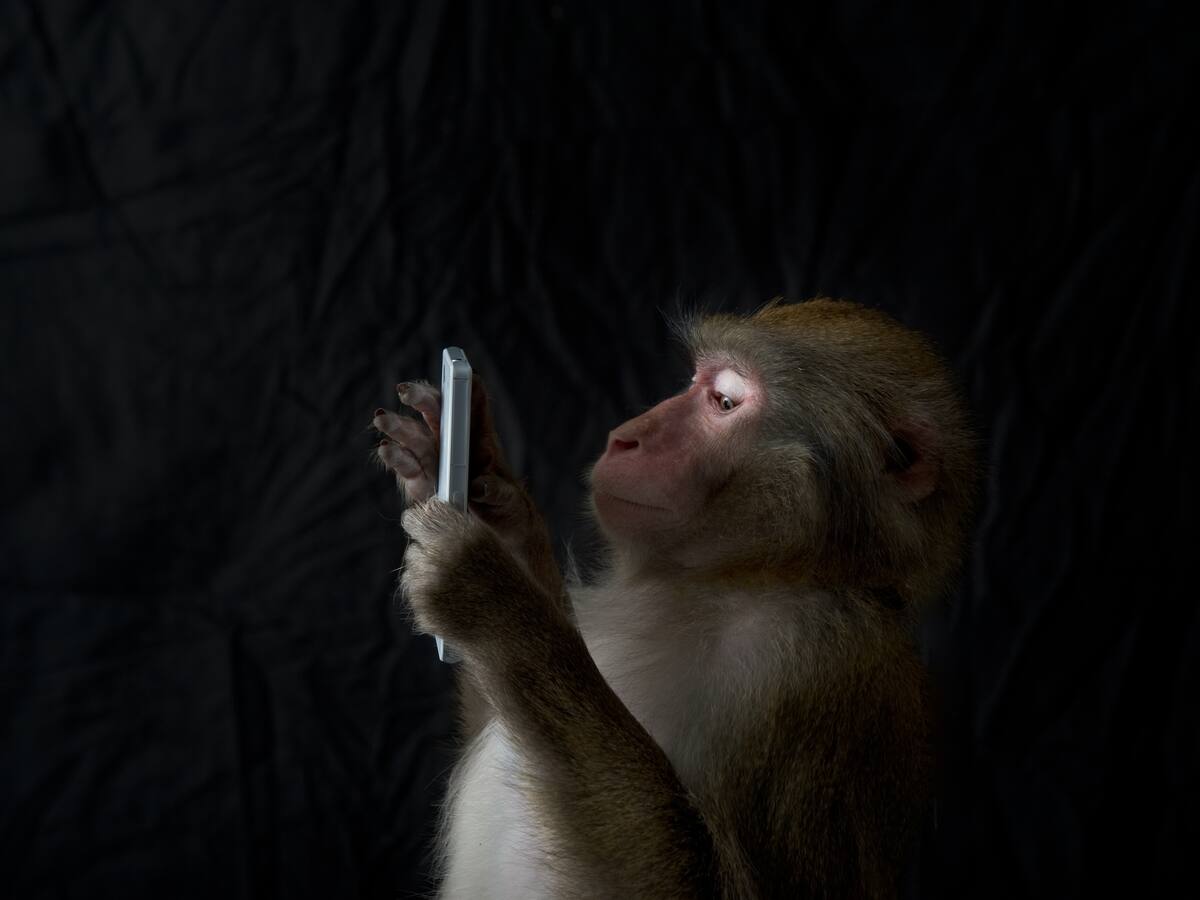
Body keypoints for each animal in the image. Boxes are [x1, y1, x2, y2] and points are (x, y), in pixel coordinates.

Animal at [371, 298, 977, 899]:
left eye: (725, 402)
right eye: (692, 384)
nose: (627, 436)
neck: (733, 581)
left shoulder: (815, 665)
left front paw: (493, 597)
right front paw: (478, 484)